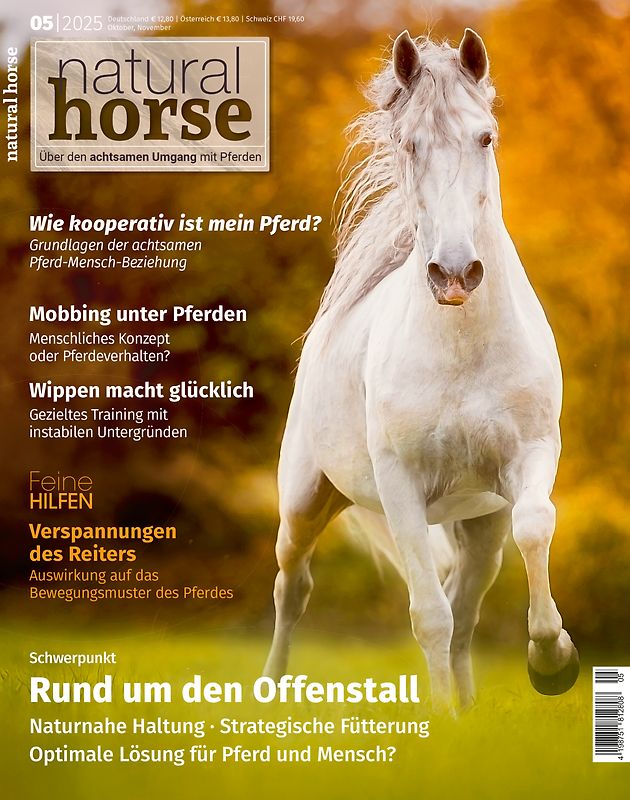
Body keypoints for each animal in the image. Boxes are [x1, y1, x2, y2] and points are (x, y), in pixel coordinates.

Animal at [263, 28, 579, 711]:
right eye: (410, 144)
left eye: (485, 137)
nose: (456, 273)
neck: (462, 351)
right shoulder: (401, 488)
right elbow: (427, 616)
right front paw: (437, 723)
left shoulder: (529, 458)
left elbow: (535, 527)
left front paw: (552, 658)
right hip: (304, 502)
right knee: (292, 588)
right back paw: (270, 690)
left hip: (480, 524)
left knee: (466, 609)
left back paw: (470, 708)